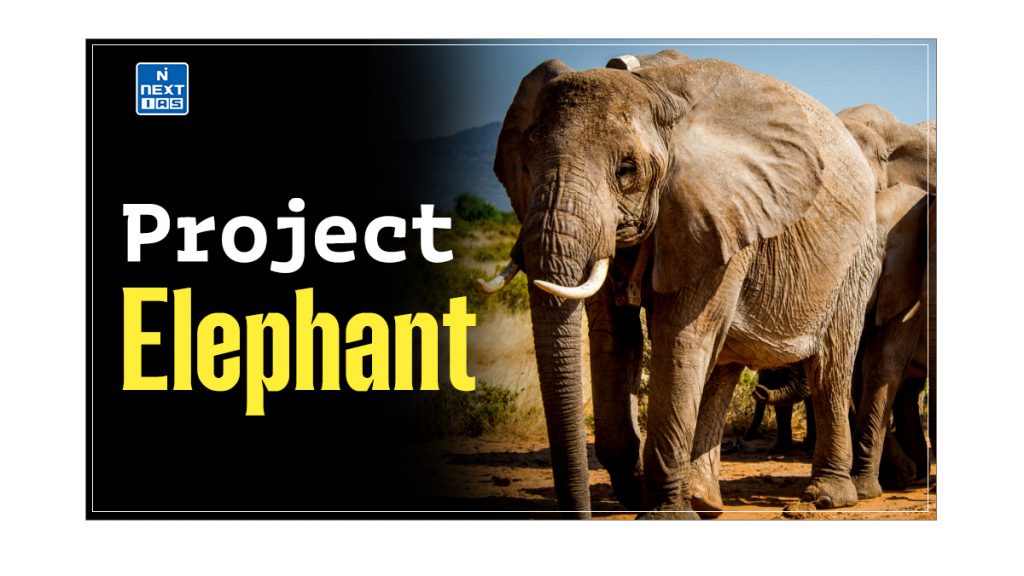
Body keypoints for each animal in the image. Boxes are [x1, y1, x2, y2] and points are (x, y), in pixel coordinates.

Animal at [479, 50, 885, 518]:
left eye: (626, 170)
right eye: (525, 167)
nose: (577, 516)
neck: (651, 90)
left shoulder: (720, 212)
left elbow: (681, 336)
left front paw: (663, 515)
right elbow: (614, 337)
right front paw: (638, 489)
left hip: (856, 261)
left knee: (830, 366)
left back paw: (826, 497)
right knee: (724, 363)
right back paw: (705, 500)